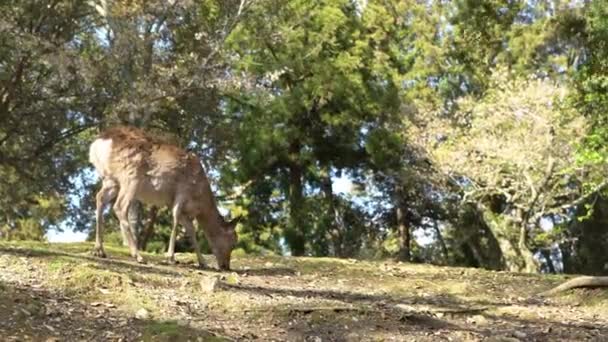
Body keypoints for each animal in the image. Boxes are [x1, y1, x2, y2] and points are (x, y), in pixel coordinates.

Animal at [88, 125, 240, 270]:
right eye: (233, 242)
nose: (226, 266)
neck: (200, 202)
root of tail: (98, 143)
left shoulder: (180, 208)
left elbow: (191, 230)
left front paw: (203, 262)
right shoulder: (182, 192)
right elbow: (176, 220)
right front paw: (171, 257)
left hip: (111, 180)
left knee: (99, 197)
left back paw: (99, 250)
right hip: (131, 175)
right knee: (120, 206)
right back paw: (138, 256)